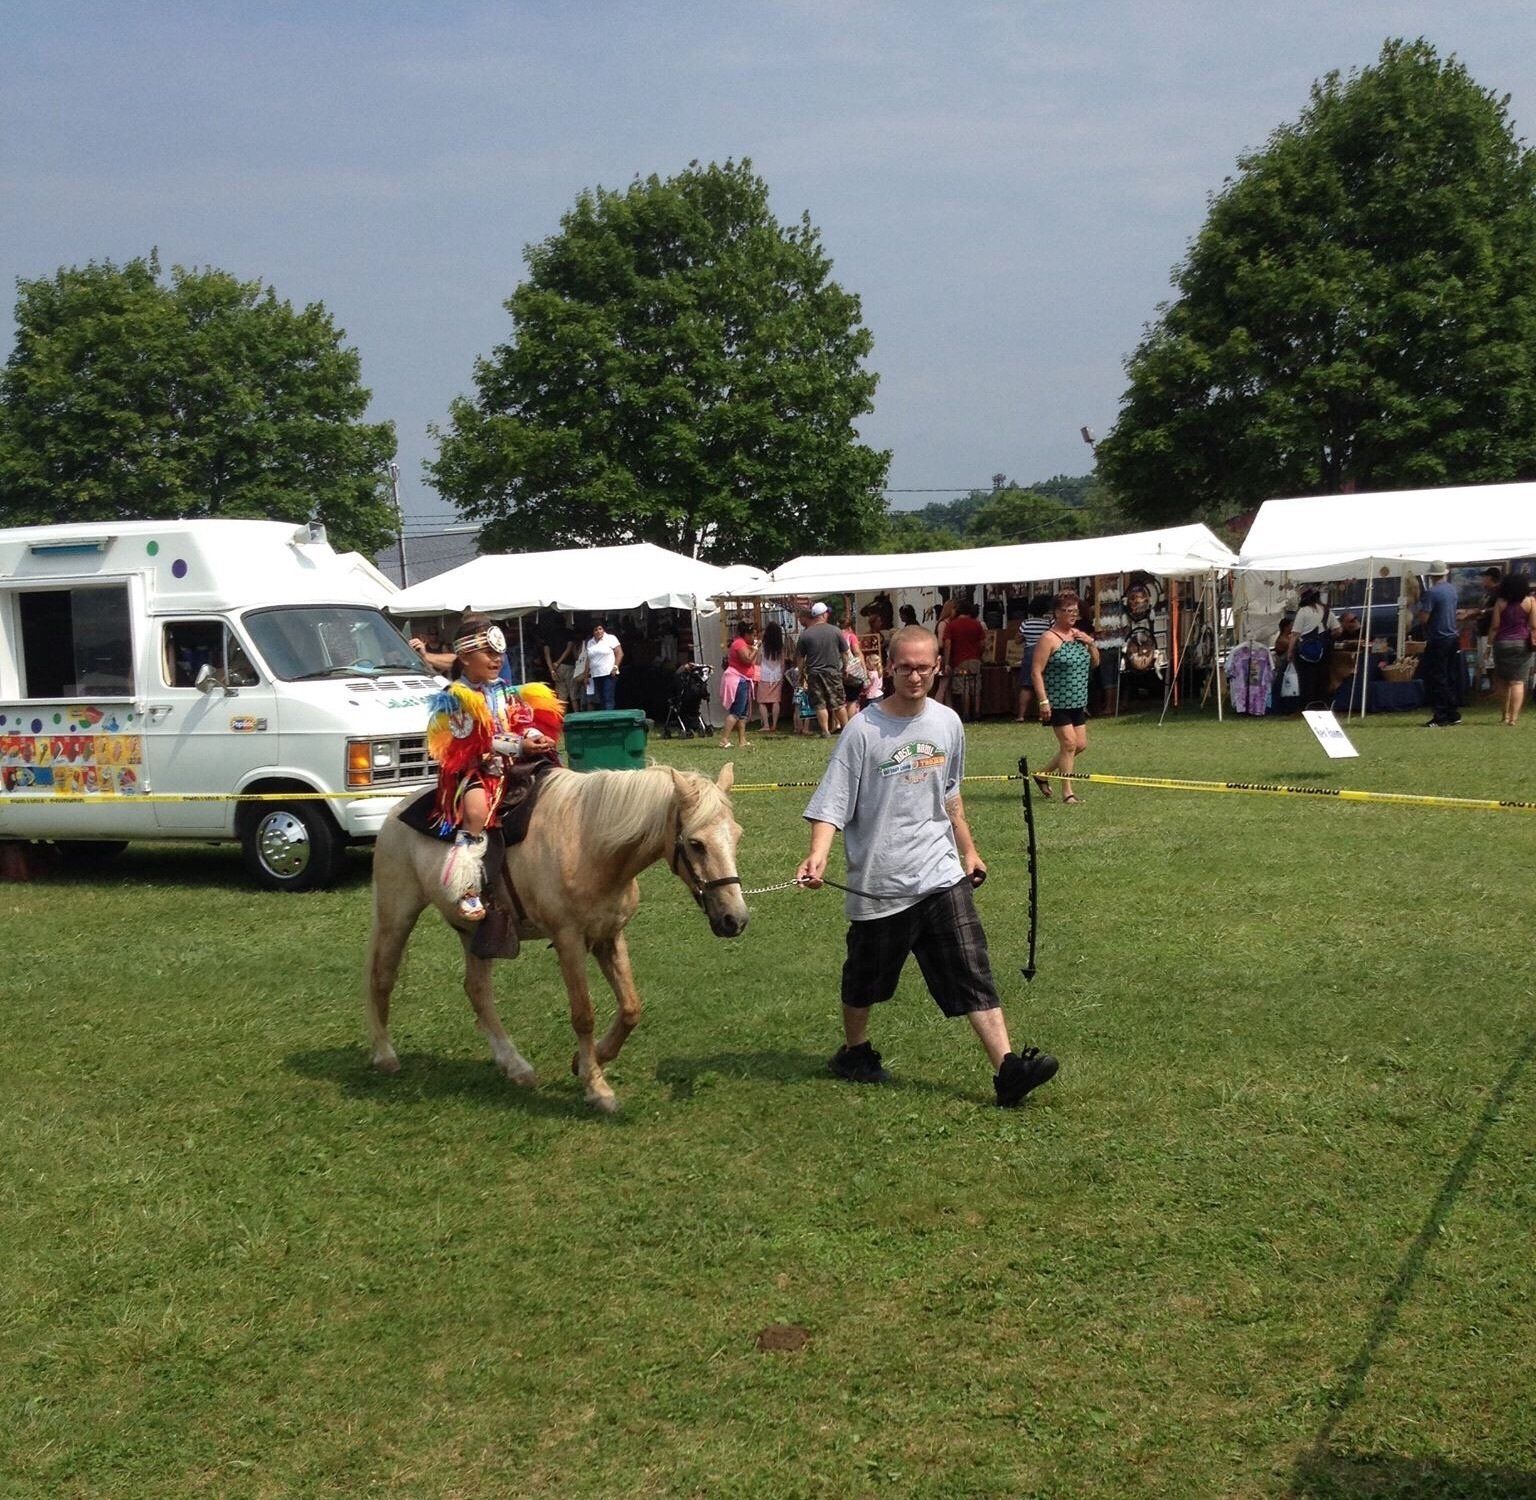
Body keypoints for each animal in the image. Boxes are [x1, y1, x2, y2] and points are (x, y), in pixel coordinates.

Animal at [365, 762, 746, 1112]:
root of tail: (395, 813)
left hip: (475, 933)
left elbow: (630, 1008)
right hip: (396, 916)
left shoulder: (609, 936)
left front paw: (587, 1061)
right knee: (382, 977)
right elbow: (583, 1015)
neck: (589, 844)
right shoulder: (568, 941)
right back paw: (384, 1055)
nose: (735, 919)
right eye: (696, 844)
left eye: (737, 835)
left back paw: (514, 1065)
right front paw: (596, 1087)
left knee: (477, 991)